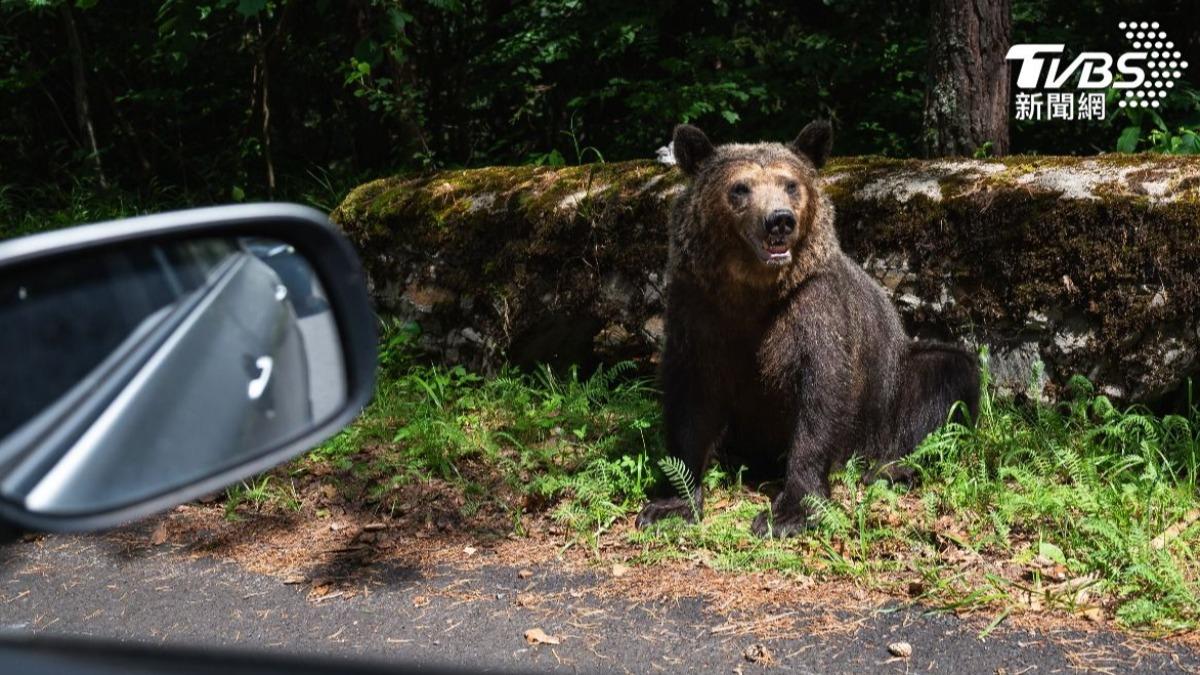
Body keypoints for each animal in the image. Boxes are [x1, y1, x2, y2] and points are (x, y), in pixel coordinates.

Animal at [635, 121, 980, 538]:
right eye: (740, 187)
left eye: (790, 184)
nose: (779, 220)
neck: (752, 291)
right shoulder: (699, 308)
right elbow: (690, 399)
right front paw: (670, 503)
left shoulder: (813, 307)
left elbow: (821, 396)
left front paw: (789, 512)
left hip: (890, 393)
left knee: (945, 373)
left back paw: (891, 469)